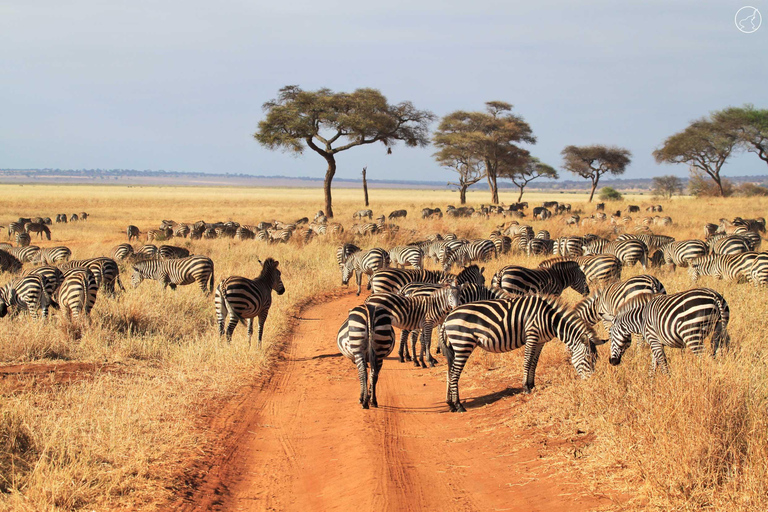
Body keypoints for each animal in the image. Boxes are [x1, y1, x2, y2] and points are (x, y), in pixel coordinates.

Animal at [440, 296, 604, 412]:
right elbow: (527, 362)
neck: (550, 318)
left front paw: (532, 385)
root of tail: (447, 318)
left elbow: (534, 363)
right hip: (463, 344)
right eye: (588, 358)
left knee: (449, 373)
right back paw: (459, 405)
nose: (591, 382)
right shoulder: (532, 334)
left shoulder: (540, 341)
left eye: (595, 359)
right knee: (454, 374)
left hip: (454, 348)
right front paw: (526, 388)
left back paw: (450, 404)